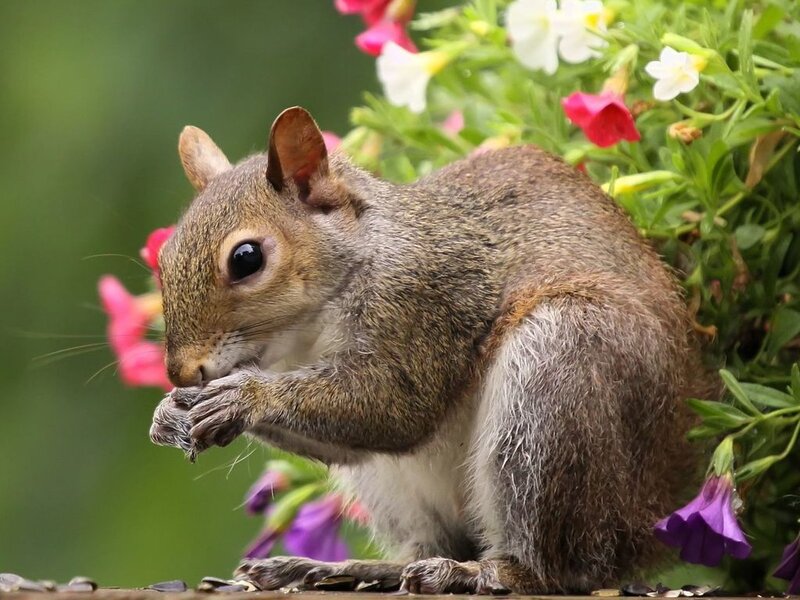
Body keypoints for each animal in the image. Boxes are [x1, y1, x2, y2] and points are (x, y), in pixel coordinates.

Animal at [150, 106, 715, 594]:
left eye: (247, 258)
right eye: (164, 255)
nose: (181, 372)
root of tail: (649, 513)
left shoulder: (425, 302)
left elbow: (396, 409)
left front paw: (243, 398)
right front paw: (169, 414)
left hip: (557, 380)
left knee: (563, 568)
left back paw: (482, 573)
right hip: (399, 489)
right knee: (433, 543)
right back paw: (342, 569)